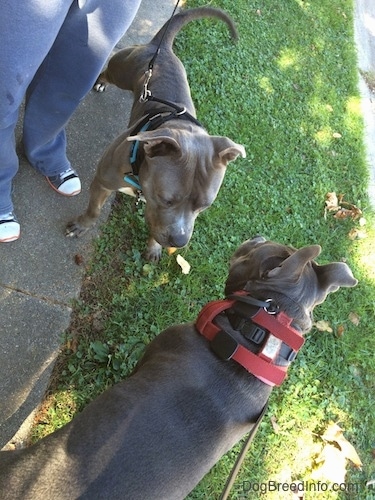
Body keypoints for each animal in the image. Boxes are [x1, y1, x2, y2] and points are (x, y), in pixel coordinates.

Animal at [66, 6, 248, 262]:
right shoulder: (103, 181)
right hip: (122, 71)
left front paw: (154, 248)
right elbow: (94, 209)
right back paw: (101, 81)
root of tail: (160, 49)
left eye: (204, 206)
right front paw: (82, 225)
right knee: (108, 72)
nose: (179, 241)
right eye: (166, 199)